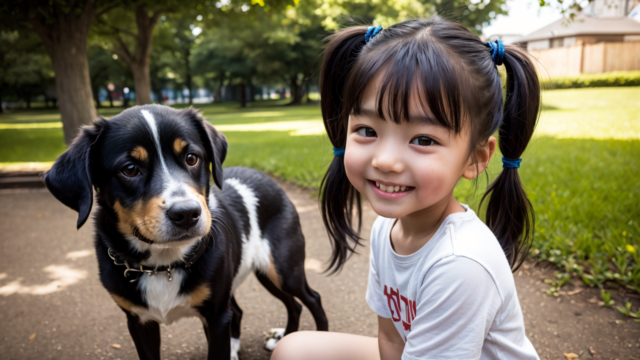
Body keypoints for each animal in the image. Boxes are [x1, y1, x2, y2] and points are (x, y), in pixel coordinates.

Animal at [45, 105, 328, 360]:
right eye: (129, 168)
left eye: (192, 158)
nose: (187, 213)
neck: (163, 265)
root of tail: (270, 179)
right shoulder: (139, 321)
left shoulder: (216, 316)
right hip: (263, 273)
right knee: (285, 305)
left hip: (283, 268)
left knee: (312, 298)